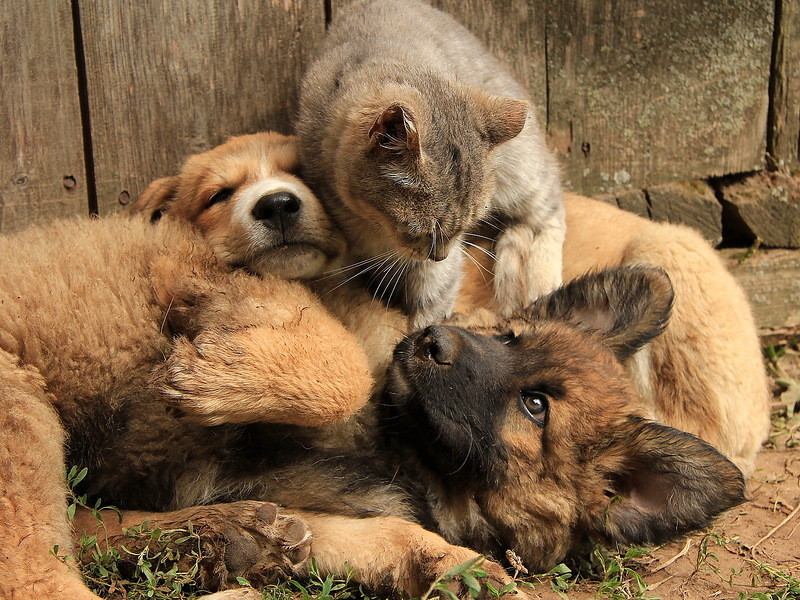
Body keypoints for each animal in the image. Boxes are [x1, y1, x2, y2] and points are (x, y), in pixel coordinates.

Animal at [296, 0, 564, 328]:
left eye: (465, 227)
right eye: (417, 229)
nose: (440, 256)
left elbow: (432, 302)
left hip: (522, 170)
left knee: (551, 211)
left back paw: (544, 281)